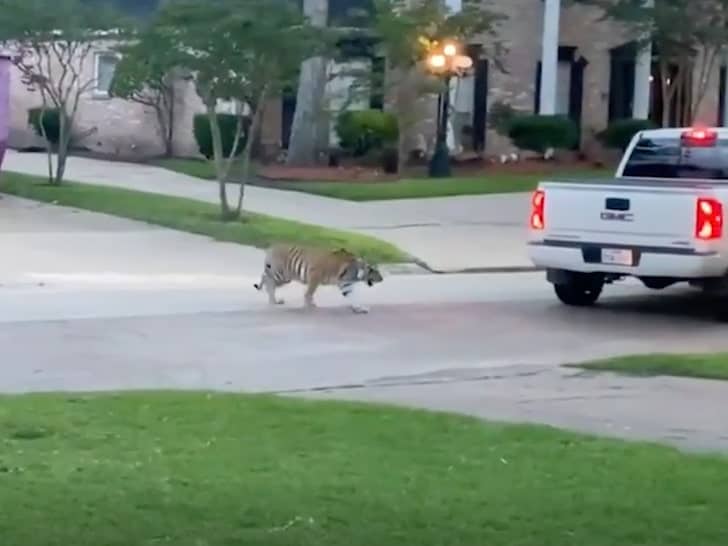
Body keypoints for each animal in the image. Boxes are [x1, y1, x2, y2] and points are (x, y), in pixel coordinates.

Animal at [253, 244, 384, 313]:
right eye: (373, 271)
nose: (382, 279)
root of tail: (271, 247)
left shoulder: (346, 285)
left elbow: (353, 297)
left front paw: (359, 308)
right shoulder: (315, 276)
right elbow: (309, 293)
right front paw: (308, 306)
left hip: (283, 277)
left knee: (266, 280)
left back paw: (274, 300)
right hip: (281, 275)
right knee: (267, 280)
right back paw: (272, 301)